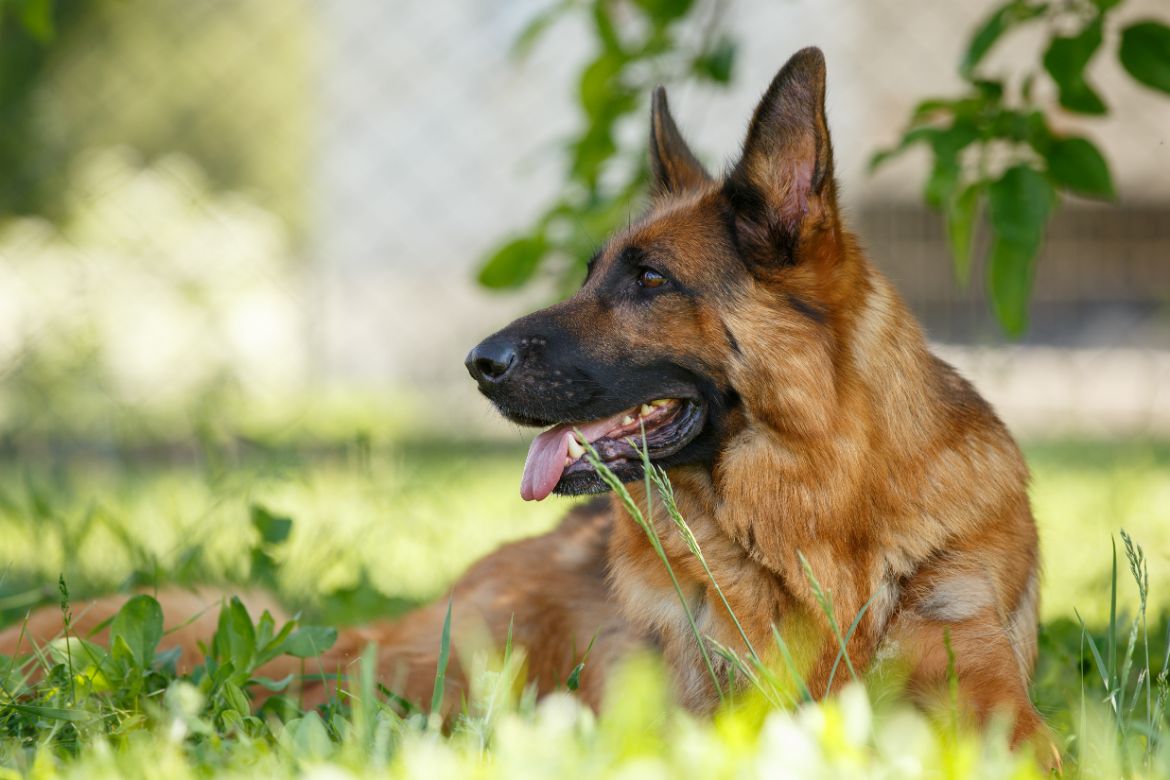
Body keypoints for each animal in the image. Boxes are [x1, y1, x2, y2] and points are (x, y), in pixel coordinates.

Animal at [0, 47, 1057, 762]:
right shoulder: (704, 712)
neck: (824, 511)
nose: (477, 362)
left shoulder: (990, 697)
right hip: (437, 676)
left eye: (647, 280)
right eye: (591, 273)